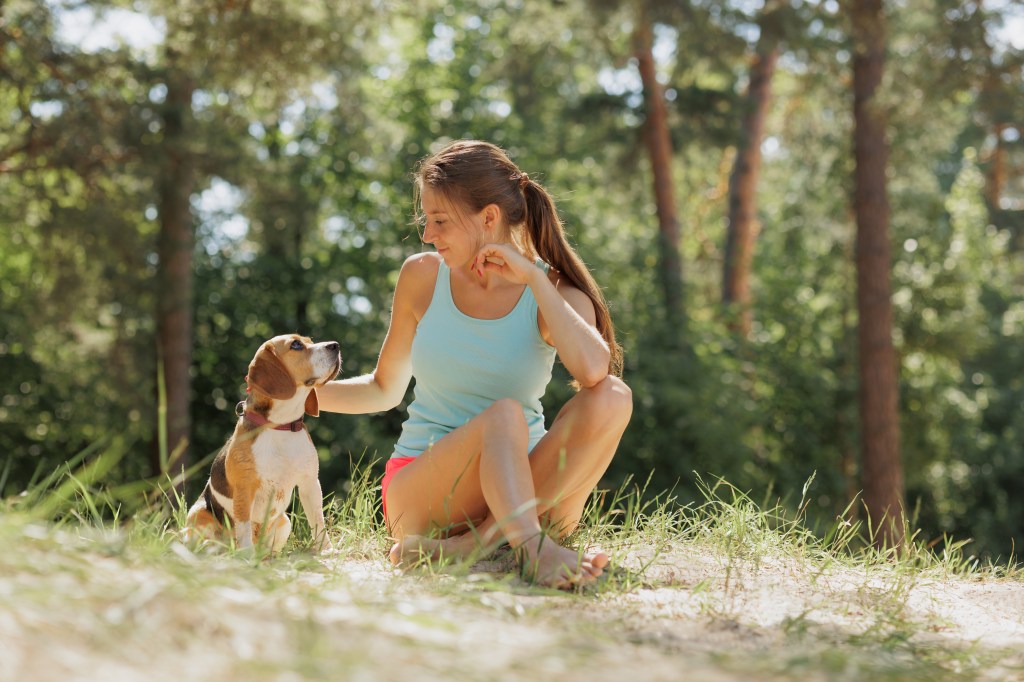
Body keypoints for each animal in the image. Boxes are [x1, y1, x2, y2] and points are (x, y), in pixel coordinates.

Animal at [184, 333, 339, 552]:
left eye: (310, 340)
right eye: (296, 345)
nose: (336, 345)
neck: (280, 425)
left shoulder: (310, 483)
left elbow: (318, 521)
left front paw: (326, 549)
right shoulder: (244, 490)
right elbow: (244, 527)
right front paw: (246, 554)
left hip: (284, 522)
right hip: (197, 516)